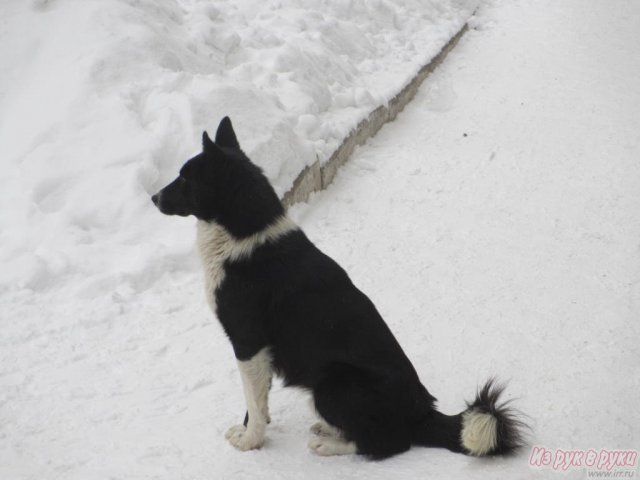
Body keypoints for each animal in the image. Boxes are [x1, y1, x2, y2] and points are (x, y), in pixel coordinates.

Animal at [151, 118, 524, 460]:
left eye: (185, 178)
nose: (153, 197)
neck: (244, 232)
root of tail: (422, 413)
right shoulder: (258, 351)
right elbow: (258, 397)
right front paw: (251, 430)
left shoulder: (248, 342)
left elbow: (254, 401)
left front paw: (250, 440)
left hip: (330, 382)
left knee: (387, 444)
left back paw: (330, 444)